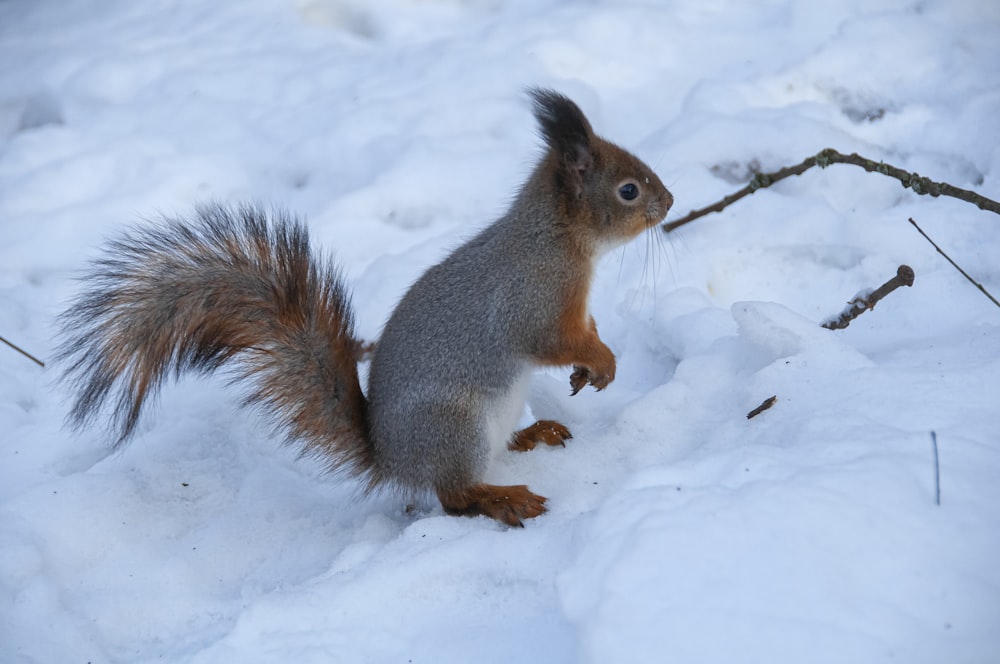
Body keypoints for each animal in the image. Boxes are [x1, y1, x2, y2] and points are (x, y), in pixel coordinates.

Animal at [56, 88, 672, 528]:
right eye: (628, 190)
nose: (670, 202)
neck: (558, 238)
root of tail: (391, 459)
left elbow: (584, 330)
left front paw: (591, 366)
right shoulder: (534, 296)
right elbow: (549, 338)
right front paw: (602, 360)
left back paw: (532, 434)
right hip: (455, 426)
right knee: (454, 496)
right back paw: (503, 498)